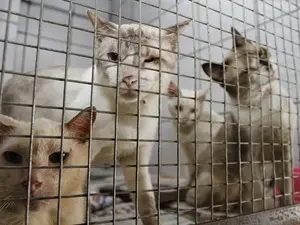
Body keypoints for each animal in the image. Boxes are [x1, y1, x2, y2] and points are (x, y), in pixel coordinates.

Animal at [1, 10, 191, 225]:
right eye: (114, 57)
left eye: (150, 60)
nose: (128, 79)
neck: (128, 116)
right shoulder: (83, 159)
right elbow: (79, 204)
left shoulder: (138, 158)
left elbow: (148, 205)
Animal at [168, 81, 250, 212]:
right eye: (178, 108)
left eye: (193, 110)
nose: (184, 120)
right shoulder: (187, 153)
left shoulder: (195, 154)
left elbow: (191, 172)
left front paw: (186, 184)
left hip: (206, 178)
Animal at [200, 27, 296, 212]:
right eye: (248, 71)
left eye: (261, 53)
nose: (266, 63)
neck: (263, 99)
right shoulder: (252, 159)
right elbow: (259, 196)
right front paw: (268, 210)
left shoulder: (284, 150)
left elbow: (287, 188)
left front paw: (286, 206)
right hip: (228, 183)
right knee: (225, 204)